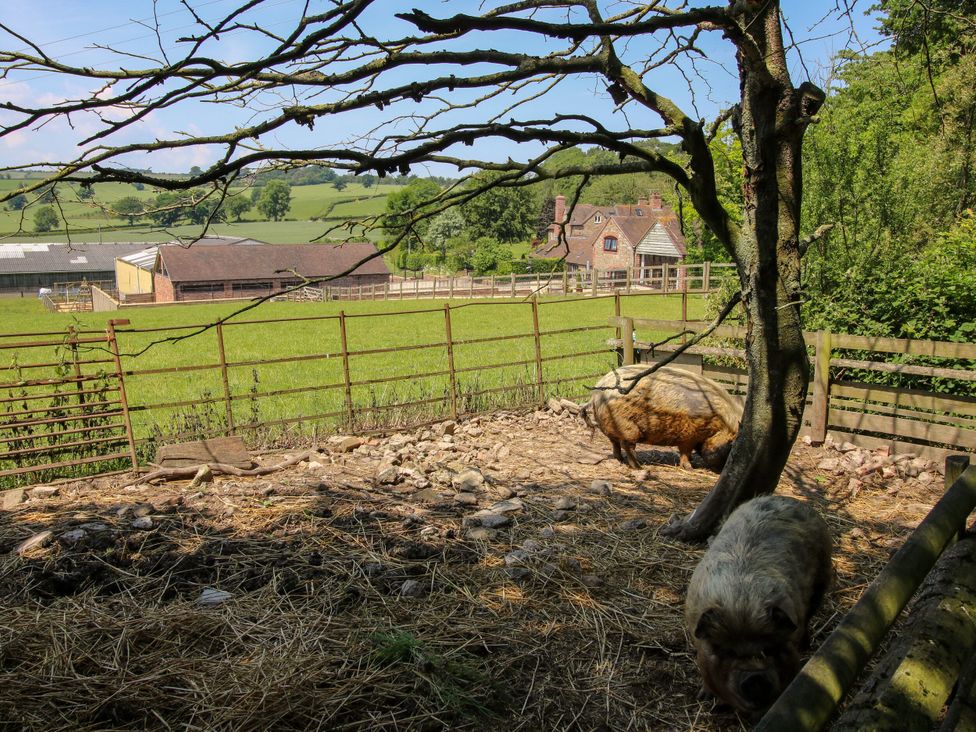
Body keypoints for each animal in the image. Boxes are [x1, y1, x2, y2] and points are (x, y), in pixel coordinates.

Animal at [582, 364, 741, 470]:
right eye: (730, 445)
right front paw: (689, 467)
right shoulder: (689, 435)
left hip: (611, 426)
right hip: (627, 427)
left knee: (615, 444)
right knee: (627, 446)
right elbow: (685, 451)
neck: (718, 423)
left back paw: (620, 460)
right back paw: (639, 467)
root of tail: (596, 393)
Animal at [684, 495, 833, 716]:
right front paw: (705, 698)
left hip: (822, 580)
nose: (754, 680)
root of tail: (787, 498)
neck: (742, 604)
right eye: (730, 653)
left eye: (766, 650)